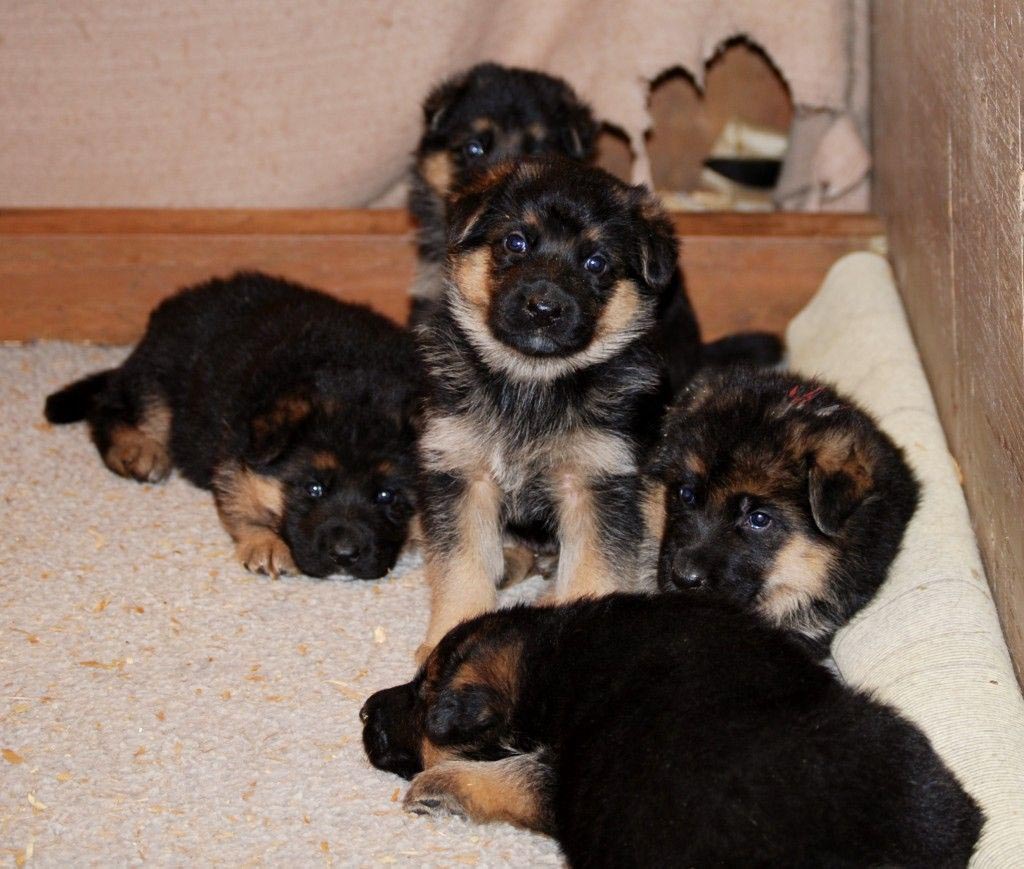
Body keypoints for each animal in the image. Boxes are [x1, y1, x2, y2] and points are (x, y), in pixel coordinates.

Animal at [44, 270, 419, 581]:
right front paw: (266, 544)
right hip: (163, 387)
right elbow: (238, 502)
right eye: (313, 489)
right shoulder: (239, 448)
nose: (344, 555)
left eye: (386, 496)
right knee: (108, 406)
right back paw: (136, 449)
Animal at [362, 597, 983, 867]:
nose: (365, 712)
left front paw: (439, 786)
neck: (550, 662)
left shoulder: (567, 783)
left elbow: (509, 776)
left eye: (421, 692)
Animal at [411, 157, 675, 659]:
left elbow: (594, 570)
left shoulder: (595, 486)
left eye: (596, 262)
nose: (544, 308)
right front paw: (448, 635)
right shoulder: (463, 476)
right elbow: (461, 568)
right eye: (515, 242)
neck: (533, 382)